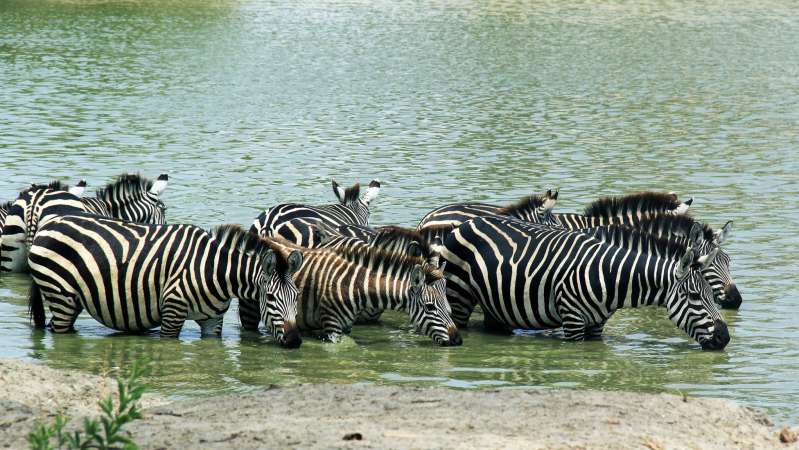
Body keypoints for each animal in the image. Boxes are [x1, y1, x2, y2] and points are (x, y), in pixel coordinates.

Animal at [27, 217, 304, 347]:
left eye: (297, 297)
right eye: (270, 298)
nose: (295, 341)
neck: (215, 271)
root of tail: (49, 223)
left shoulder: (213, 321)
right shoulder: (173, 311)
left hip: (72, 299)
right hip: (60, 295)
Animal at [239, 239, 461, 346]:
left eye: (448, 306)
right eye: (430, 308)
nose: (458, 341)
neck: (356, 287)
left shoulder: (346, 326)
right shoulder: (332, 326)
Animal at [440, 215, 729, 350]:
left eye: (712, 295)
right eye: (694, 297)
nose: (724, 338)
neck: (612, 276)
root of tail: (468, 222)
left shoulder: (597, 325)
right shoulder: (573, 321)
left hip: (496, 303)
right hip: (459, 296)